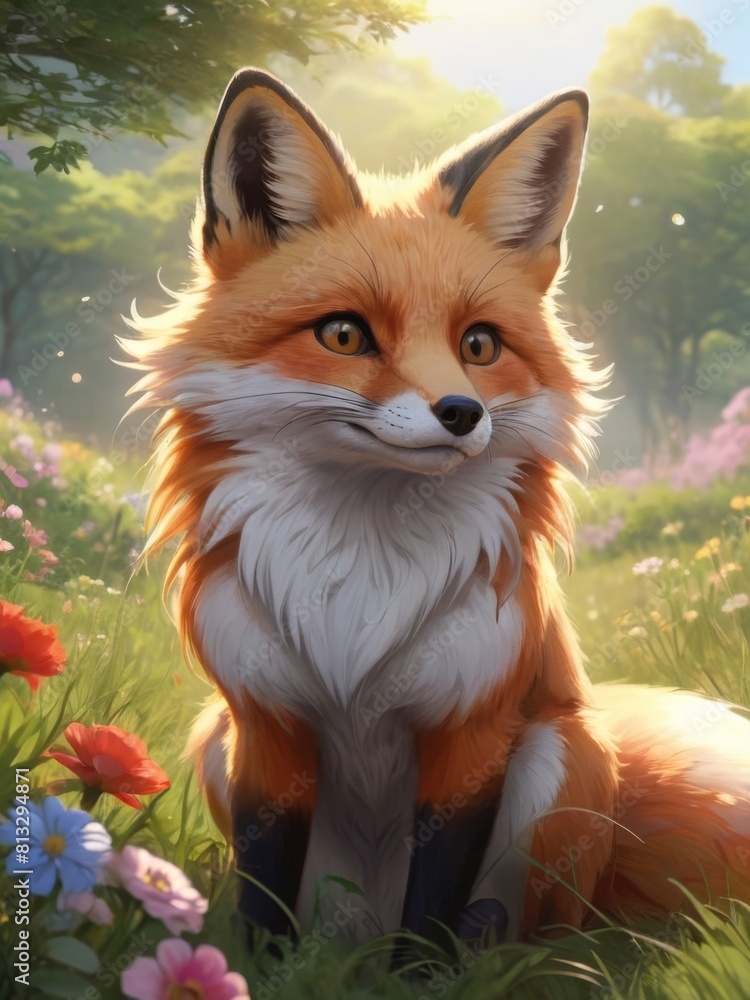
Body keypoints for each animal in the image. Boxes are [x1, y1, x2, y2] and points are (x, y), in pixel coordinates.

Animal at [123, 68, 750, 944]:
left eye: (479, 345)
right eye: (344, 335)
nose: (461, 412)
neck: (361, 577)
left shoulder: (471, 734)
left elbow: (432, 906)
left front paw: (421, 968)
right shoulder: (265, 727)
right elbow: (264, 891)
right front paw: (259, 961)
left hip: (559, 760)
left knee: (517, 923)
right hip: (214, 737)